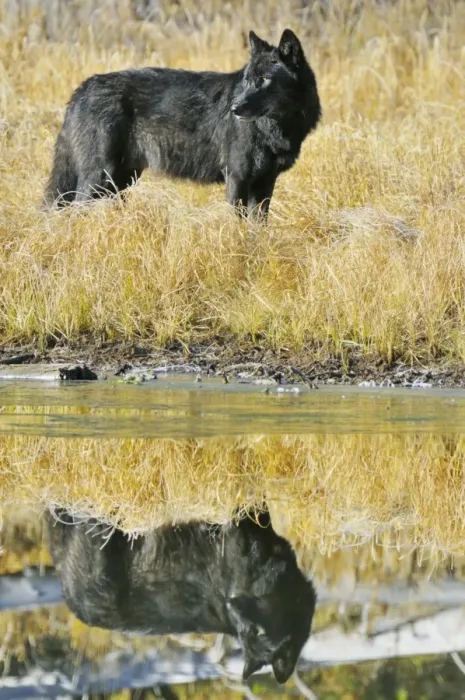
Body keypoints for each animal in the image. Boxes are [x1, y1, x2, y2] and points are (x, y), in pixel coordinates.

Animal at [43, 29, 321, 217]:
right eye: (247, 79)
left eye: (264, 80)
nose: (234, 108)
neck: (276, 128)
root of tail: (81, 89)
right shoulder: (237, 178)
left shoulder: (265, 183)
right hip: (100, 179)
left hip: (120, 181)